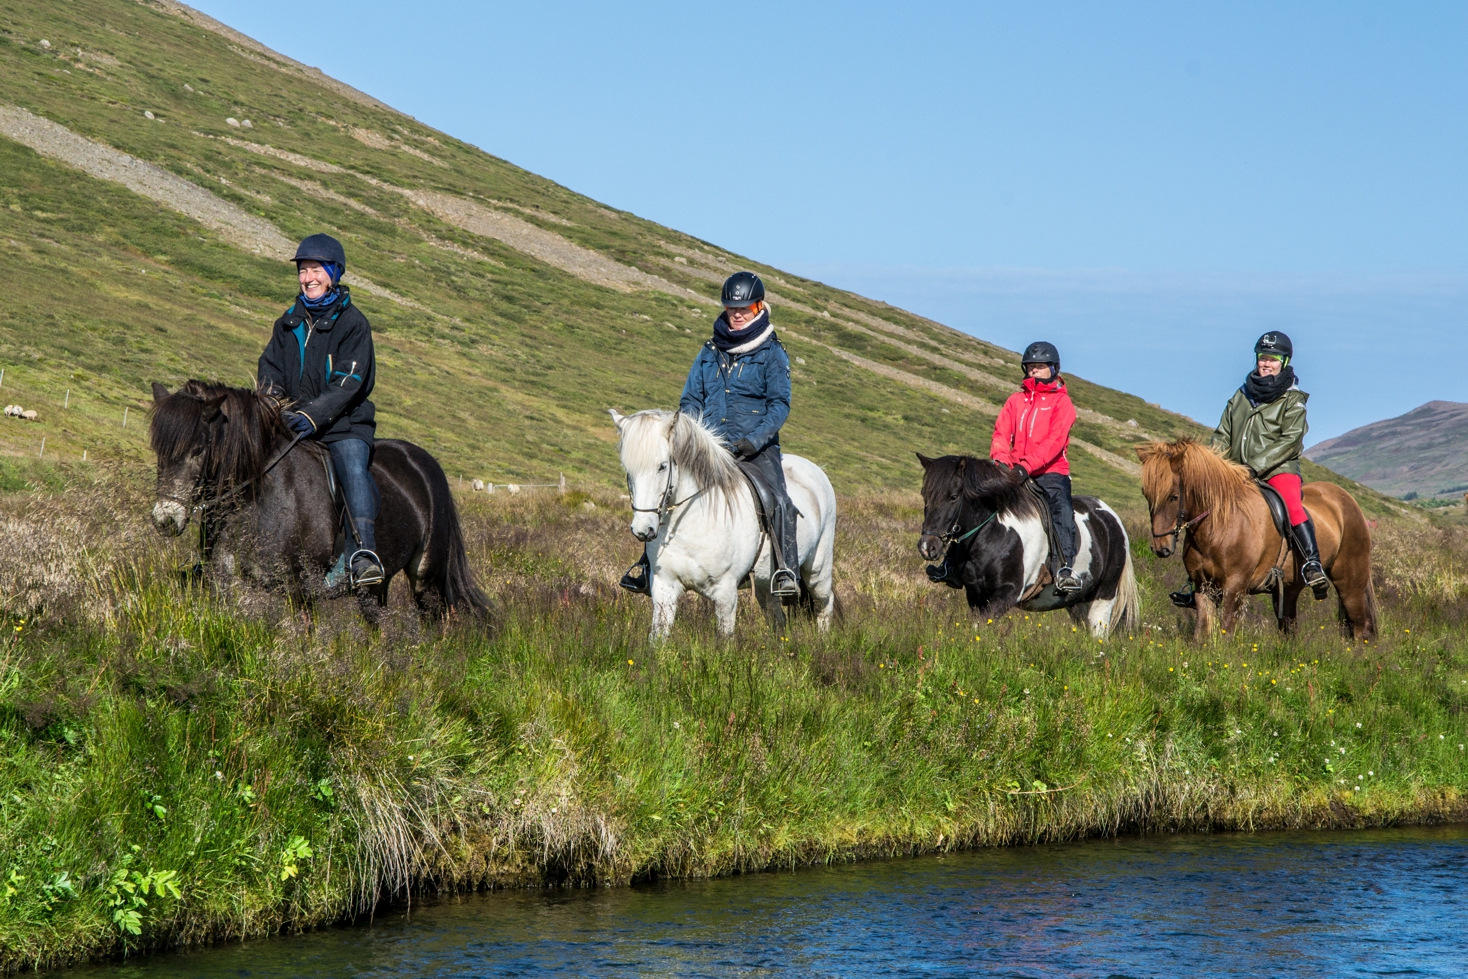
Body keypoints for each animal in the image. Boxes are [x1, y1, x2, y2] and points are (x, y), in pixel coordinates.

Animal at [607, 408, 839, 642]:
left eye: (662, 467)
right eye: (627, 469)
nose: (643, 530)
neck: (691, 527)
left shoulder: (725, 592)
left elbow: (724, 641)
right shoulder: (664, 587)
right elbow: (658, 638)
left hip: (818, 571)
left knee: (824, 603)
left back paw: (823, 642)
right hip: (766, 584)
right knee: (777, 618)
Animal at [916, 455, 1133, 639]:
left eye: (953, 497)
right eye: (924, 495)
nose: (927, 547)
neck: (993, 533)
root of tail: (1111, 516)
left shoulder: (1008, 593)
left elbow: (981, 626)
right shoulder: (975, 594)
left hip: (1103, 597)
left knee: (1099, 635)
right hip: (1077, 602)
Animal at [1139, 437, 1368, 639]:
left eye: (1174, 496)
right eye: (1146, 495)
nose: (1160, 547)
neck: (1219, 527)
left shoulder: (1235, 587)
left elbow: (1226, 632)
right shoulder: (1203, 588)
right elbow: (1201, 634)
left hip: (1350, 584)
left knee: (1359, 627)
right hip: (1288, 589)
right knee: (1289, 627)